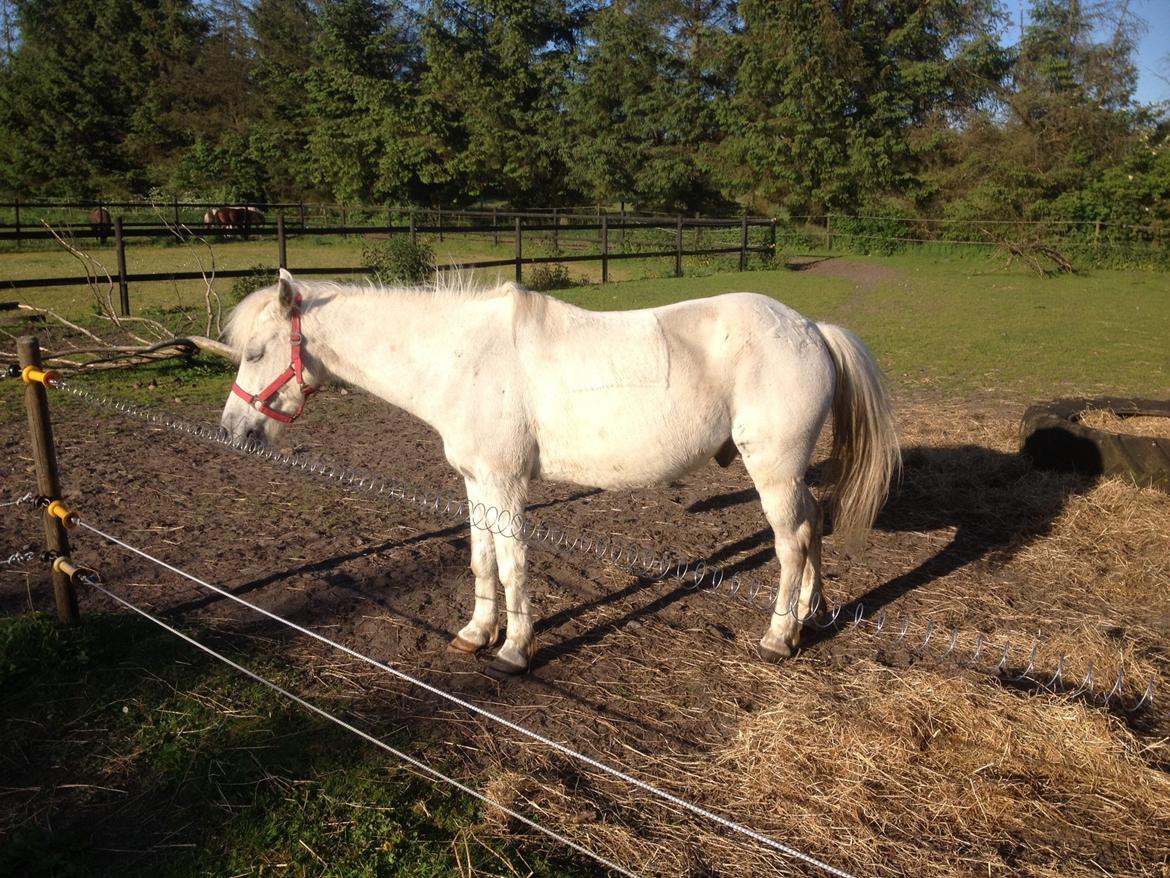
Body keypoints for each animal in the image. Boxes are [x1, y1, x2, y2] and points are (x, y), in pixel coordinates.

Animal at [219, 268, 898, 674]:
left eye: (255, 352)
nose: (232, 431)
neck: (460, 357)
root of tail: (811, 329)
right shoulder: (477, 483)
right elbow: (481, 561)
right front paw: (476, 633)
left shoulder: (505, 484)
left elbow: (514, 565)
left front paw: (515, 650)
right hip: (792, 475)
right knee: (813, 528)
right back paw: (812, 615)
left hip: (774, 472)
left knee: (791, 543)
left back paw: (780, 636)